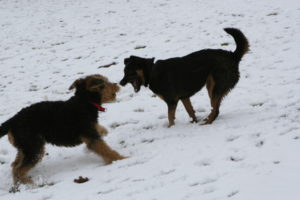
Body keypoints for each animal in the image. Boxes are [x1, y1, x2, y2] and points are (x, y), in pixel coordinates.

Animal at [119, 27, 248, 126]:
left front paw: (171, 128)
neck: (151, 71)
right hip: (212, 86)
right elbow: (190, 111)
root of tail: (232, 56)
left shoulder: (171, 101)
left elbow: (170, 117)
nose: (120, 83)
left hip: (214, 87)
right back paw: (206, 120)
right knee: (215, 109)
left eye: (129, 72)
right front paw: (193, 122)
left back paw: (207, 123)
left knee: (215, 110)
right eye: (124, 72)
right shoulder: (184, 97)